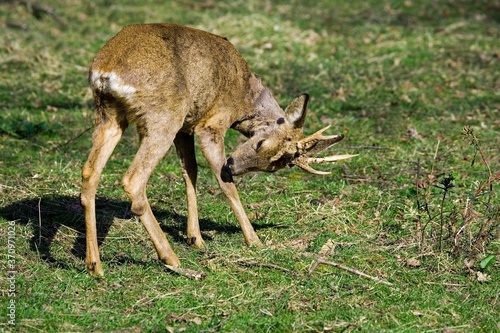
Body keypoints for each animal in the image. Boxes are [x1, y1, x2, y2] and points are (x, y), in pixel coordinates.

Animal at [82, 22, 354, 272]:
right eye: (261, 142)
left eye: (275, 166)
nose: (233, 165)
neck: (244, 95)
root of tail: (106, 72)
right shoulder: (210, 124)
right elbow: (225, 184)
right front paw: (254, 240)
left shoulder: (187, 126)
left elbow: (190, 172)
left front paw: (196, 238)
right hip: (163, 116)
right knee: (133, 179)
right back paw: (170, 258)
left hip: (110, 115)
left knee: (89, 173)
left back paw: (95, 265)